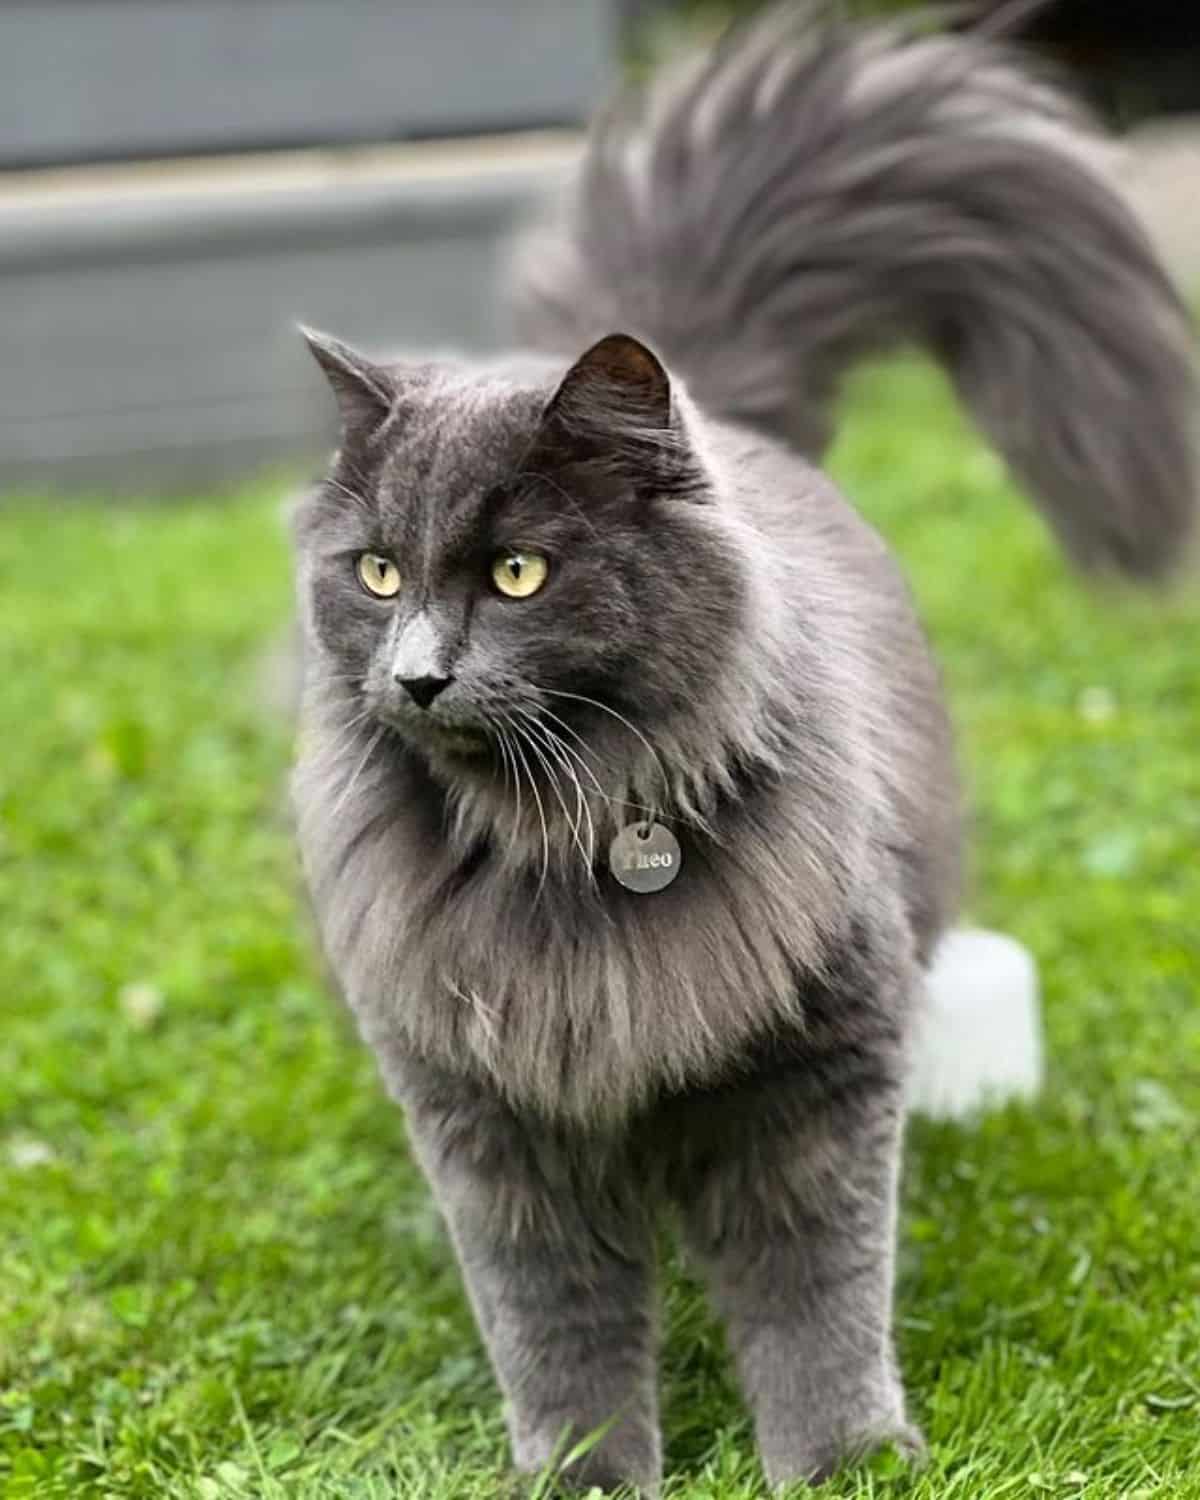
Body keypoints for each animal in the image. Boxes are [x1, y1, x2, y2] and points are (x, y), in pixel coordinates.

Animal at [286, 5, 1194, 1494]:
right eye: (376, 572)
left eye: (519, 573)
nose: (417, 676)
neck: (571, 846)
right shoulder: (491, 1120)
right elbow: (558, 1326)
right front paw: (584, 1472)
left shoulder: (813, 1078)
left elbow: (815, 1295)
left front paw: (846, 1461)